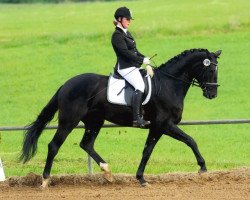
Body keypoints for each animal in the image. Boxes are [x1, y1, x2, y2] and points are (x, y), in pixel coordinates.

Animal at [20, 48, 222, 188]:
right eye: (211, 70)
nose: (212, 94)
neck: (168, 84)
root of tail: (65, 85)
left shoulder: (157, 127)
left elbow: (147, 151)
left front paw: (141, 179)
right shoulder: (164, 124)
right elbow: (190, 140)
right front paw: (203, 169)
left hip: (95, 121)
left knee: (87, 144)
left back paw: (108, 173)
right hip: (69, 121)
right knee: (54, 146)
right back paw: (45, 181)